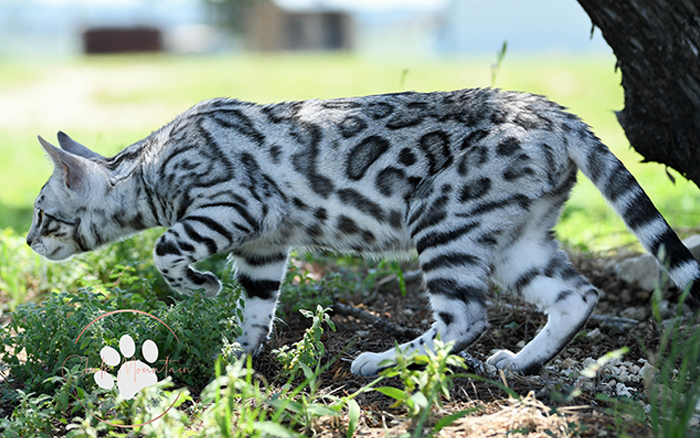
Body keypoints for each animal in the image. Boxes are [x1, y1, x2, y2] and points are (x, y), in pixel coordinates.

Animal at [27, 89, 700, 376]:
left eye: (40, 212)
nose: (29, 243)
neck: (148, 167)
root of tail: (555, 111)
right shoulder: (264, 247)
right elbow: (257, 309)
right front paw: (237, 355)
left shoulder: (234, 207)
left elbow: (167, 251)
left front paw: (200, 289)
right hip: (519, 241)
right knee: (575, 296)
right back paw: (520, 362)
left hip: (443, 221)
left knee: (464, 319)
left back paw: (381, 360)